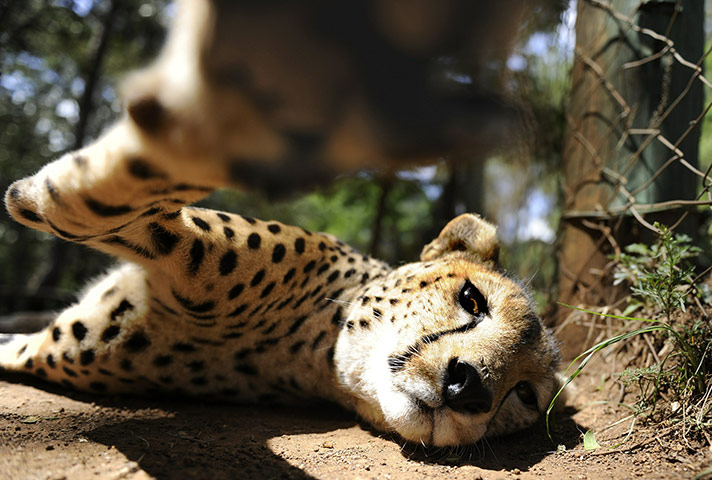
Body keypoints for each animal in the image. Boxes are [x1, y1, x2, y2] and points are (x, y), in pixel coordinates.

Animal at [0, 0, 560, 447]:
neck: (310, 350)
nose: (470, 388)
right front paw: (40, 193)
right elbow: (136, 188)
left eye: (524, 395)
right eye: (472, 299)